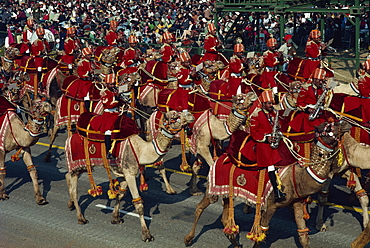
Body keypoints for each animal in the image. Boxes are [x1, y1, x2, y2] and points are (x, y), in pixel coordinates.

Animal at [65, 109, 195, 241]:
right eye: (174, 115)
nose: (190, 115)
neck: (140, 151)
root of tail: (69, 138)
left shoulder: (125, 174)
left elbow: (120, 194)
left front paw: (115, 218)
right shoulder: (130, 174)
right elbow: (138, 204)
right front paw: (146, 235)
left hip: (83, 166)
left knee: (68, 176)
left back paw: (70, 204)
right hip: (78, 163)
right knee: (74, 188)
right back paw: (81, 218)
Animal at [184, 119, 352, 247]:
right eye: (329, 127)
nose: (346, 123)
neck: (298, 176)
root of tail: (219, 158)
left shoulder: (296, 202)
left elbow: (303, 235)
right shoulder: (271, 205)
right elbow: (261, 233)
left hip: (226, 193)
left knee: (225, 219)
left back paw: (235, 243)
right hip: (213, 189)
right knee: (200, 207)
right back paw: (188, 239)